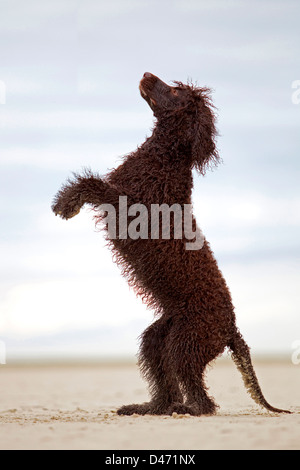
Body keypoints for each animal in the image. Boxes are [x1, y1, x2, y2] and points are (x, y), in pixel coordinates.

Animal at [51, 70, 290, 414]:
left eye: (177, 92)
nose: (146, 74)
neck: (165, 158)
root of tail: (231, 328)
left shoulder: (128, 206)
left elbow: (92, 182)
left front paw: (66, 203)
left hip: (187, 341)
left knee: (202, 397)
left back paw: (187, 409)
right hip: (160, 337)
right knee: (165, 382)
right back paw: (148, 408)